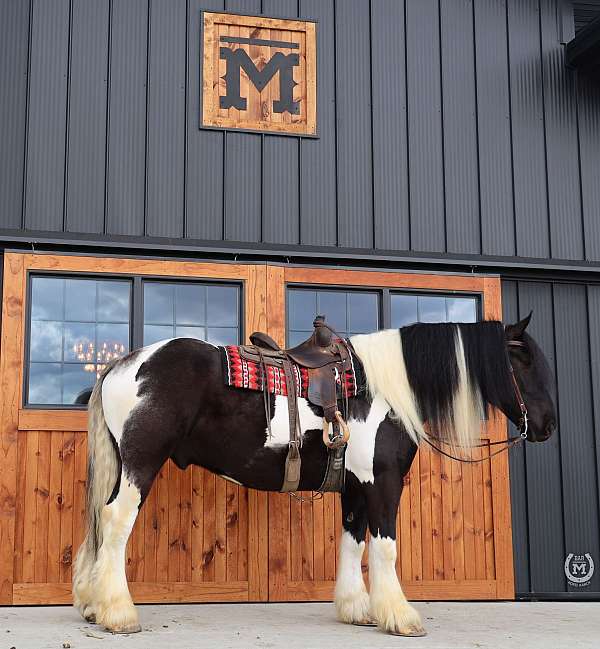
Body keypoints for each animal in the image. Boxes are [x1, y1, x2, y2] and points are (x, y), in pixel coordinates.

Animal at [72, 312, 556, 636]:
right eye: (524, 362)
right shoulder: (383, 483)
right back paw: (118, 613)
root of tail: (123, 363)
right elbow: (384, 547)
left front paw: (357, 609)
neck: (384, 389)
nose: (548, 426)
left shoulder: (355, 487)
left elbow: (352, 542)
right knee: (116, 521)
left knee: (100, 521)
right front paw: (401, 616)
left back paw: (93, 606)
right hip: (141, 464)